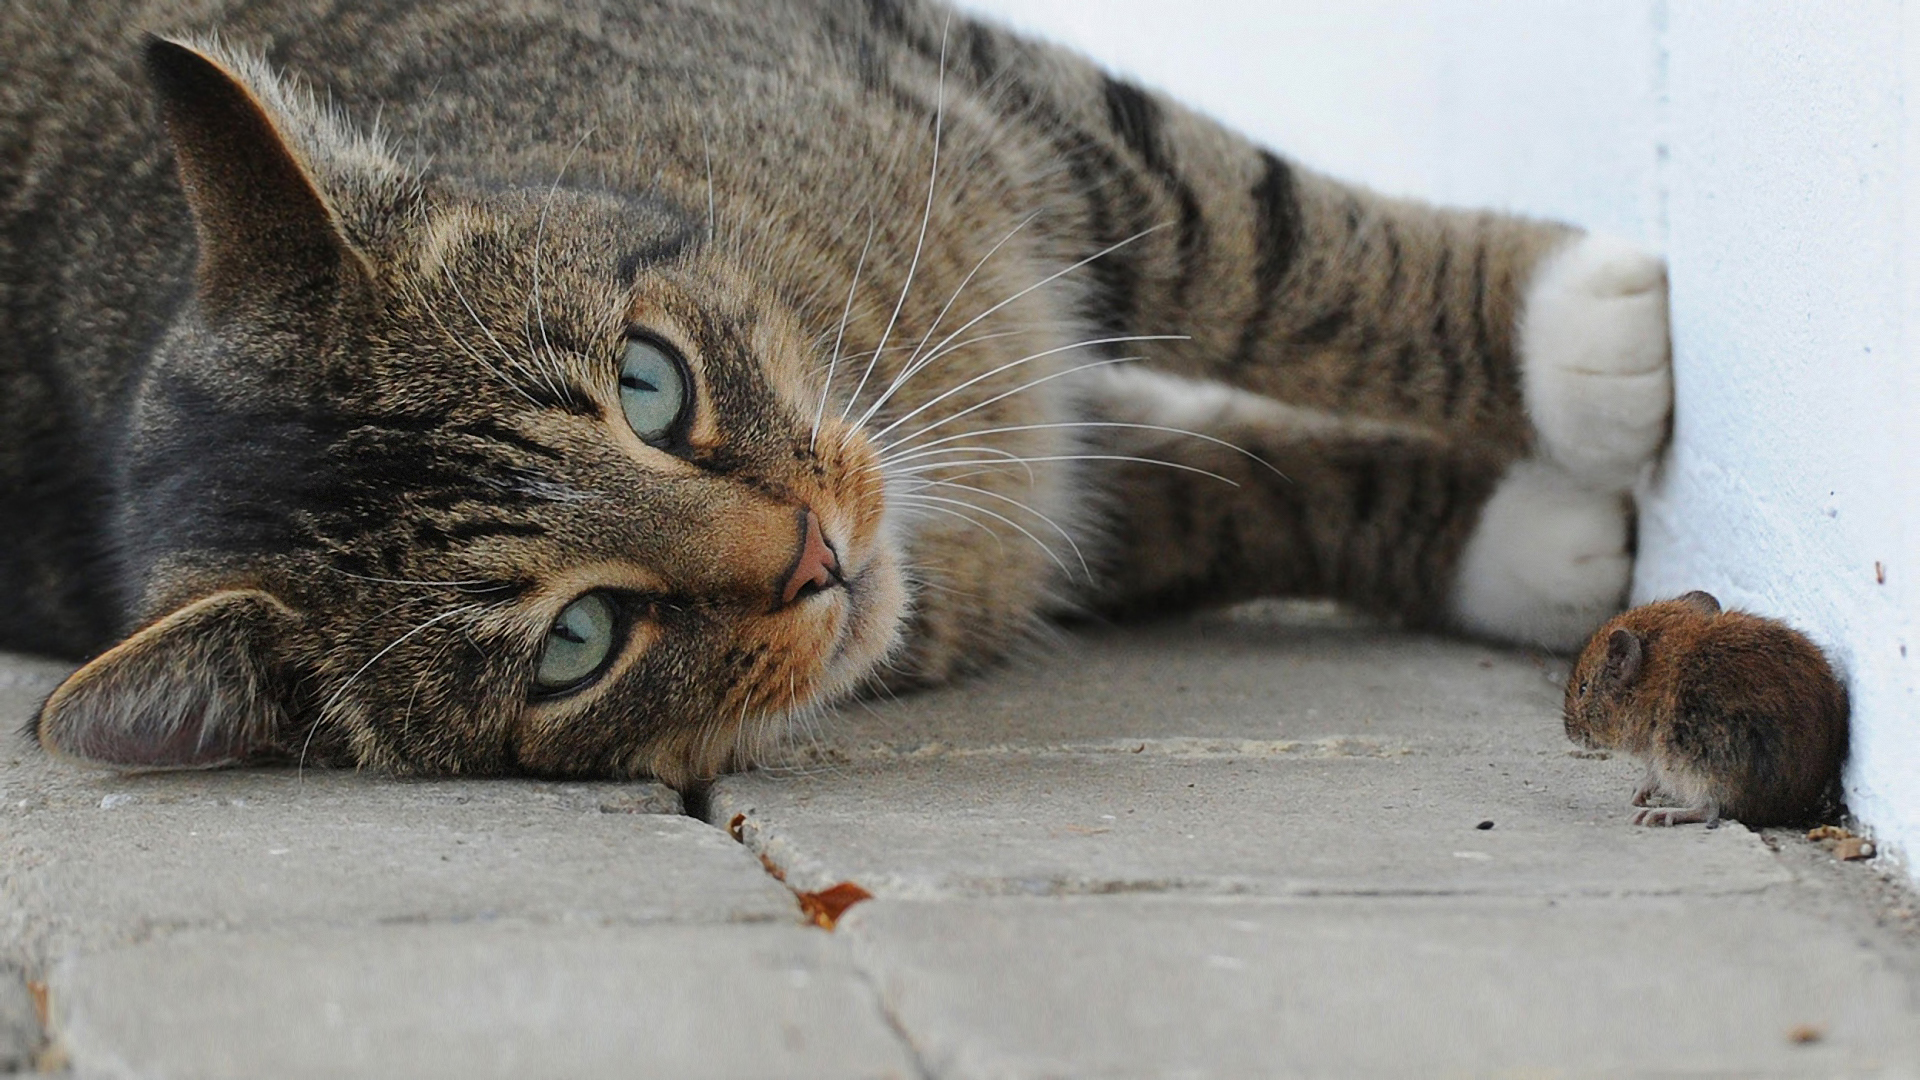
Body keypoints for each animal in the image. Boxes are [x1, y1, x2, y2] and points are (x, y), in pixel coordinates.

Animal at [0, 0, 1666, 780]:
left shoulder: (977, 95)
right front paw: (1537, 535)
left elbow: (1263, 236)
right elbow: (1245, 496)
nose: (816, 554)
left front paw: (1563, 329)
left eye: (650, 384)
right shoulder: (1050, 531)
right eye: (576, 645)